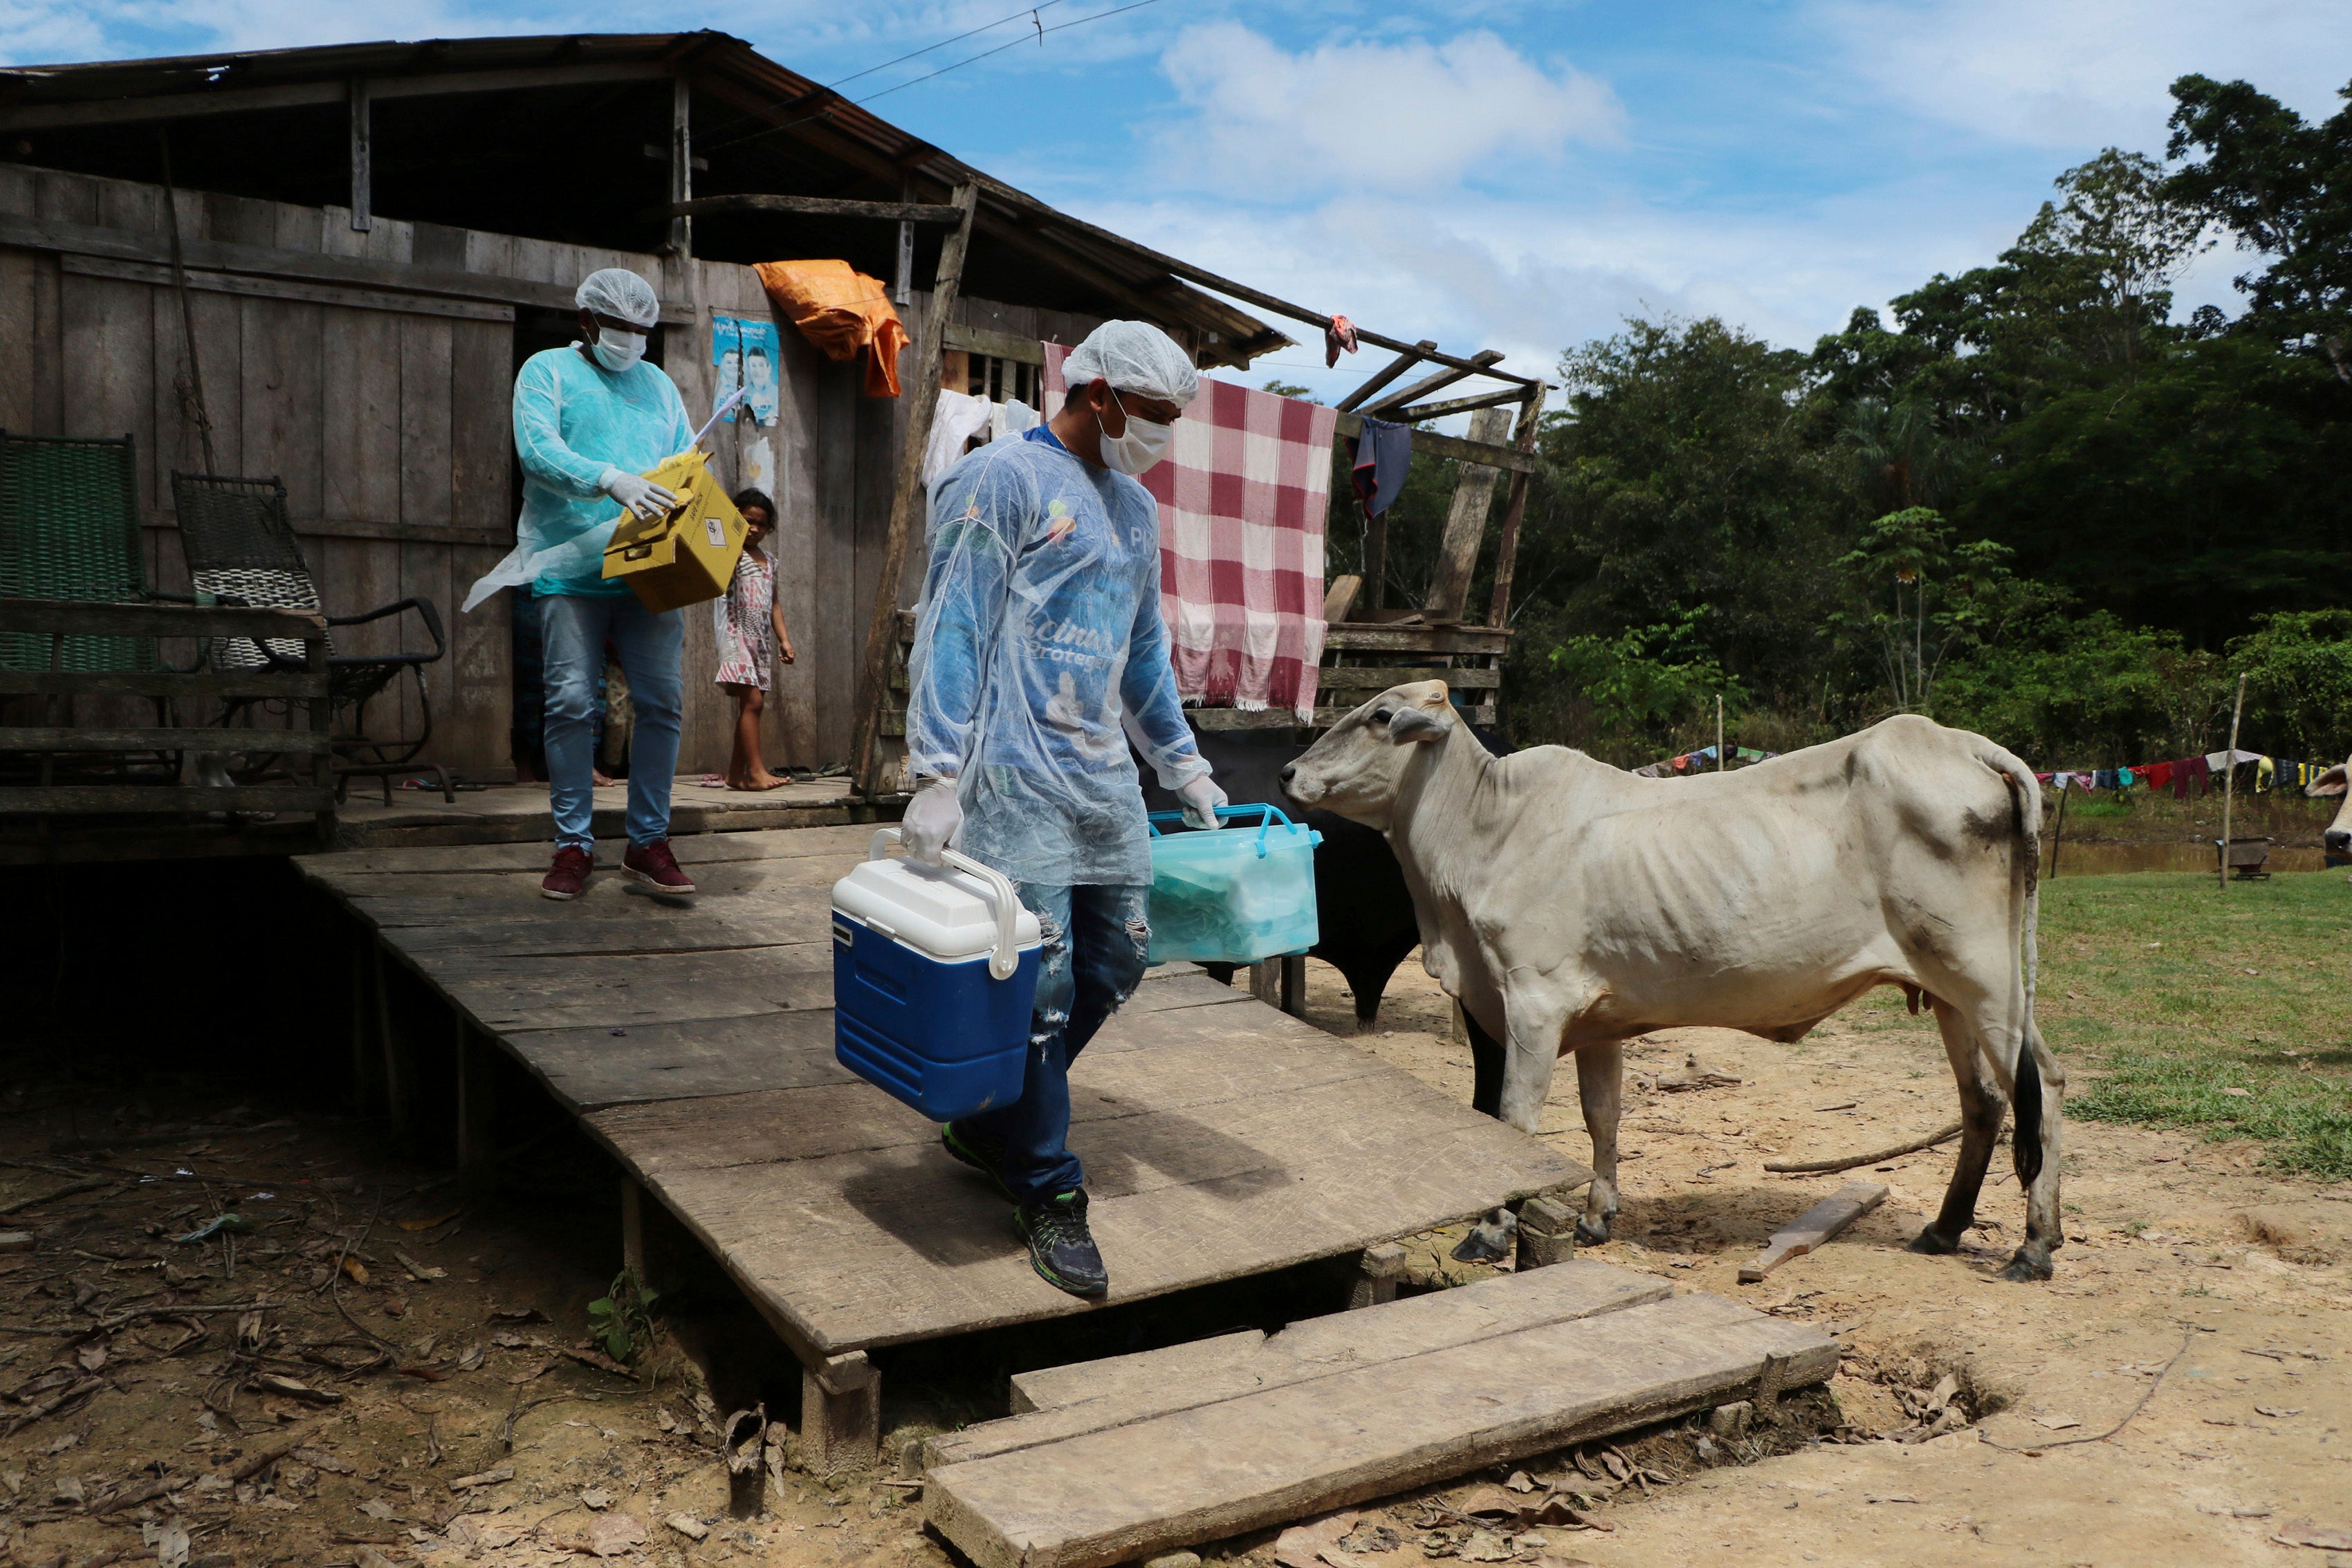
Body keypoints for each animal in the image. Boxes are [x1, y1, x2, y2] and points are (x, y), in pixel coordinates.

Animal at [1279, 681, 2070, 1278]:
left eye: (1380, 716)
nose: (1287, 772)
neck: (1485, 832)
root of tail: (1961, 742)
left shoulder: (1532, 1002)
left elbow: (1512, 1120)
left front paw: (1489, 1230)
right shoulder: (1595, 1015)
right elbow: (1602, 1114)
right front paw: (1596, 1215)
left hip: (1986, 978)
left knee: (2044, 1087)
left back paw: (2033, 1246)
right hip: (1947, 988)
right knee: (1986, 1100)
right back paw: (1944, 1228)